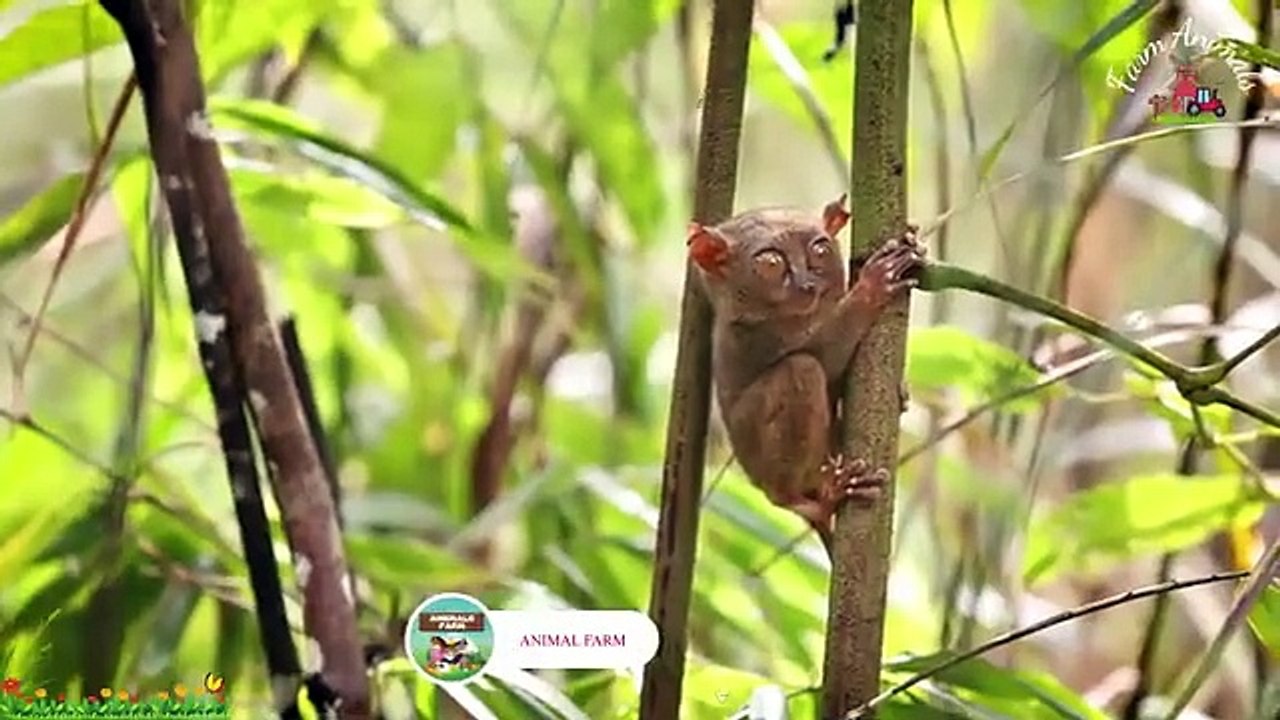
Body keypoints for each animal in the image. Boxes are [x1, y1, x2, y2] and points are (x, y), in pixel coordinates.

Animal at [687, 195, 923, 556]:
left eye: (820, 250)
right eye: (771, 263)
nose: (806, 283)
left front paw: (905, 393)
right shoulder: (758, 337)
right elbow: (825, 357)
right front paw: (873, 285)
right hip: (764, 462)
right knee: (801, 369)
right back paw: (821, 502)